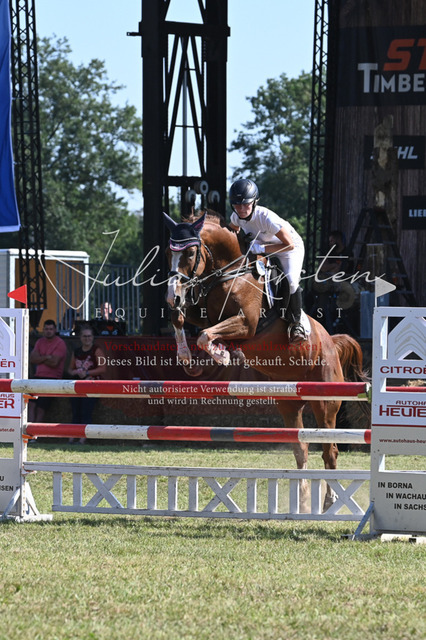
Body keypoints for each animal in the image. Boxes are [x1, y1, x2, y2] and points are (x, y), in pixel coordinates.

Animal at [164, 210, 368, 511]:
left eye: (190, 252)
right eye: (169, 252)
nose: (172, 295)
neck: (230, 273)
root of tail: (332, 342)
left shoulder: (246, 325)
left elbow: (204, 335)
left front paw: (221, 354)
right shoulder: (204, 315)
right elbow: (183, 320)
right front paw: (189, 359)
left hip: (325, 404)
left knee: (330, 450)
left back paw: (330, 501)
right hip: (288, 403)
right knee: (301, 448)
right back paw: (302, 500)